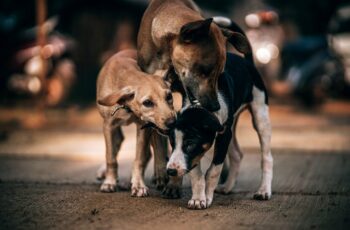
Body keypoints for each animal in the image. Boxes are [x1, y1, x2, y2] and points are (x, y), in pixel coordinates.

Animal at [95, 49, 176, 197]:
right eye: (147, 103)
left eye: (169, 96)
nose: (172, 122)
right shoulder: (108, 125)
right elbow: (110, 157)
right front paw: (109, 182)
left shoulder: (143, 127)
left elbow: (139, 159)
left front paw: (138, 185)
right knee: (117, 143)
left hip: (152, 128)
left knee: (153, 151)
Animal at [165, 49, 274, 208]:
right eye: (172, 144)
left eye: (190, 144)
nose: (171, 171)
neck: (201, 103)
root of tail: (247, 61)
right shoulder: (212, 143)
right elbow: (196, 173)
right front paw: (198, 198)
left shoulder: (223, 135)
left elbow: (214, 170)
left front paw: (206, 197)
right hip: (233, 125)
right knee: (237, 154)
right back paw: (227, 187)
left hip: (260, 115)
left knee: (267, 158)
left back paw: (264, 190)